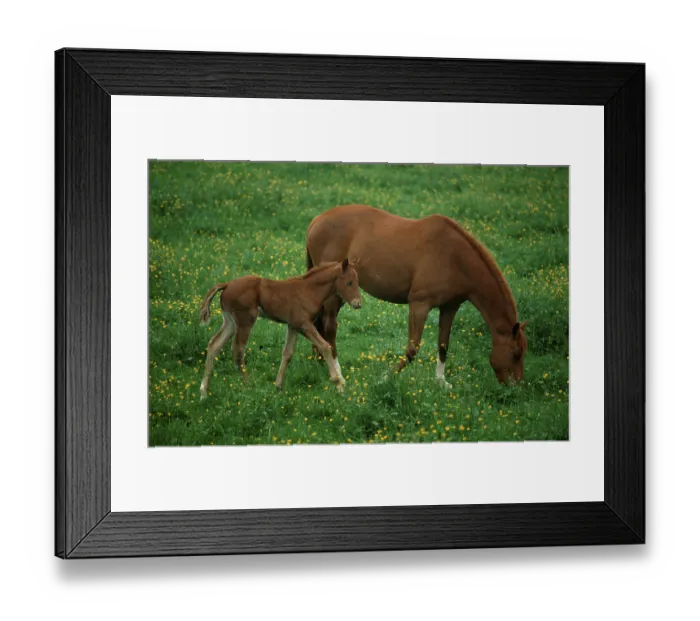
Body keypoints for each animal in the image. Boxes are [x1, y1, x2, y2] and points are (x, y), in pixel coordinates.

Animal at [198, 258, 362, 397]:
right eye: (349, 282)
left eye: (357, 281)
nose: (358, 304)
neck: (309, 290)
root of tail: (226, 285)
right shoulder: (304, 324)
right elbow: (325, 346)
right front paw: (339, 384)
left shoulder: (293, 326)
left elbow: (287, 353)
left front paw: (278, 386)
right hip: (245, 321)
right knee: (238, 351)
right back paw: (248, 385)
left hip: (230, 322)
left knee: (214, 345)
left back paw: (204, 391)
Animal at [306, 205, 528, 387]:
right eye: (516, 353)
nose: (516, 386)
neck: (454, 257)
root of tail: (317, 220)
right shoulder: (419, 305)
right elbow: (412, 349)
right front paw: (384, 378)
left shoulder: (449, 307)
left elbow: (443, 344)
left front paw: (441, 381)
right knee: (329, 326)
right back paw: (337, 371)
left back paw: (321, 362)